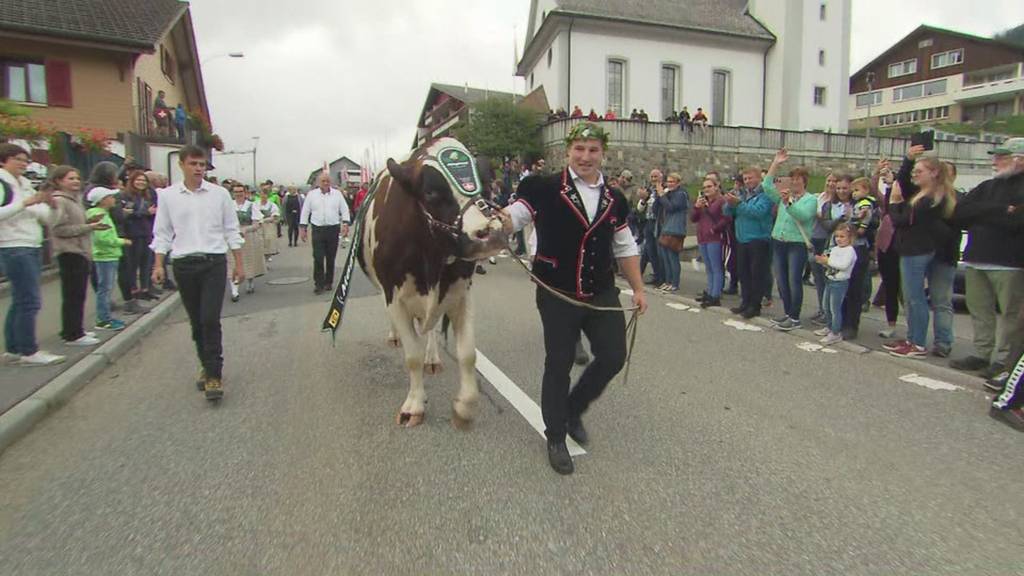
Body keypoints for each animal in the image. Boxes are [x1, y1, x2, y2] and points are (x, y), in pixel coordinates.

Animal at [356, 138, 507, 426]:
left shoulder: (461, 293)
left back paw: (433, 358)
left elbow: (467, 353)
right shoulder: (394, 296)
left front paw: (465, 406)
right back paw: (394, 336)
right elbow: (412, 356)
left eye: (484, 183)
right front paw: (414, 405)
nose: (489, 233)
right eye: (431, 193)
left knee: (431, 330)